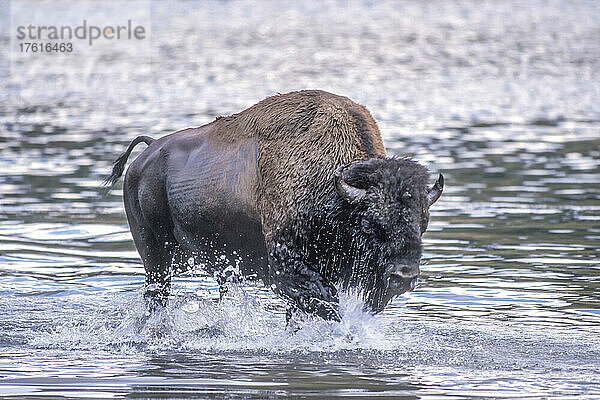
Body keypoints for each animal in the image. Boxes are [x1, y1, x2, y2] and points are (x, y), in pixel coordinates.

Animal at [104, 89, 440, 320]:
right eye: (371, 223)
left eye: (422, 223)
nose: (405, 275)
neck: (335, 188)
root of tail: (147, 154)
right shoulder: (287, 265)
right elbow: (325, 304)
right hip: (155, 256)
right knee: (156, 294)